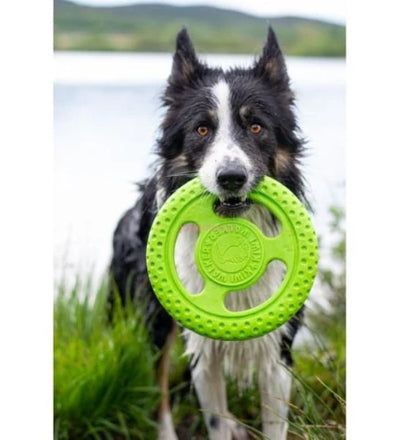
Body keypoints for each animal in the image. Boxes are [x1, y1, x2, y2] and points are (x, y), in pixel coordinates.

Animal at [111, 27, 308, 440]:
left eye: (256, 126)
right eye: (202, 129)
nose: (231, 177)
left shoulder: (278, 348)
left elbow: (274, 422)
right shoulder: (201, 348)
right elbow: (210, 417)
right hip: (156, 321)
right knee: (159, 388)